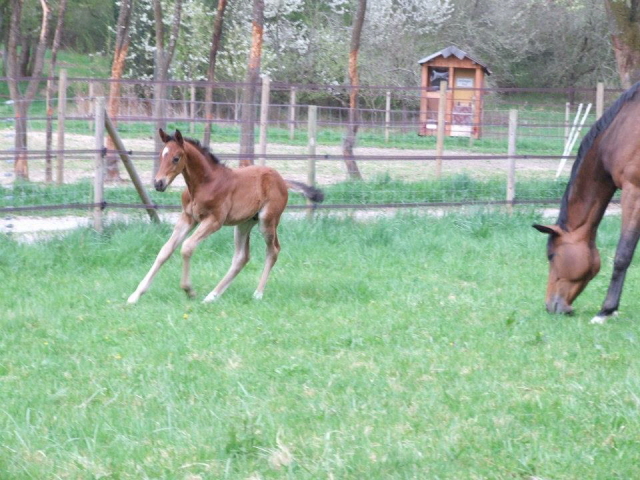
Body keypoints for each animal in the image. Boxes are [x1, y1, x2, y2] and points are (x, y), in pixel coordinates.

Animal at [127, 128, 322, 304]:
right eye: (161, 156)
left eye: (176, 158)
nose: (158, 183)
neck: (204, 184)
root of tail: (282, 180)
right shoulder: (187, 218)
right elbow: (165, 251)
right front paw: (135, 295)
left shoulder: (214, 220)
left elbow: (187, 247)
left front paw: (189, 290)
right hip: (244, 224)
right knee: (241, 257)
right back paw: (212, 296)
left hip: (267, 220)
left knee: (273, 250)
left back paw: (257, 294)